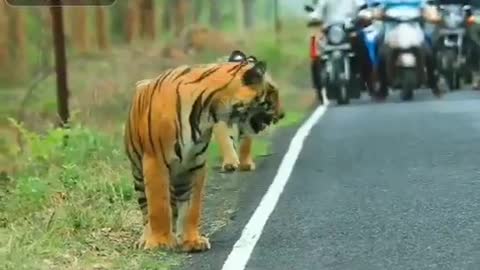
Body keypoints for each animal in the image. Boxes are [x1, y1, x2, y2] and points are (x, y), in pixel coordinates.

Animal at [124, 49, 284, 252]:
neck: (206, 112)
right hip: (138, 172)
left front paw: (192, 241)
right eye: (272, 93)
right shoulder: (156, 162)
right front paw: (160, 242)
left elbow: (192, 208)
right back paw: (147, 239)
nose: (282, 115)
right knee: (146, 208)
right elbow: (158, 206)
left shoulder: (195, 164)